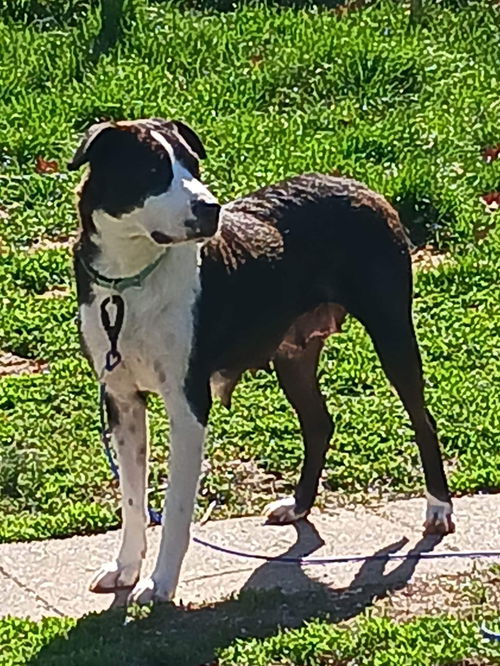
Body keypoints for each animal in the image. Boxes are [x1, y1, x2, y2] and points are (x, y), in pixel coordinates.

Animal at [68, 118, 456, 600]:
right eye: (153, 171)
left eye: (192, 165)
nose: (210, 208)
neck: (131, 279)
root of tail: (363, 186)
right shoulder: (121, 400)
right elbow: (133, 498)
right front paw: (125, 567)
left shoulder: (187, 404)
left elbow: (176, 507)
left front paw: (160, 583)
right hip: (294, 355)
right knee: (319, 423)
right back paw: (298, 504)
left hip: (392, 331)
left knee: (422, 420)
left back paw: (438, 507)